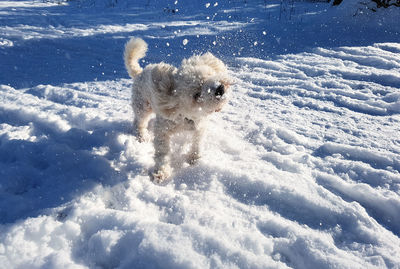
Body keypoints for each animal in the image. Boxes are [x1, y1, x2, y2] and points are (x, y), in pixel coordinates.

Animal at [123, 37, 233, 182]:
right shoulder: (162, 131)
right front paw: (161, 172)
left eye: (208, 75)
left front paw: (194, 158)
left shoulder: (200, 126)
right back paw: (142, 136)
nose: (219, 89)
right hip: (142, 106)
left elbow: (197, 143)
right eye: (196, 95)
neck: (186, 117)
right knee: (139, 122)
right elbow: (162, 152)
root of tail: (139, 73)